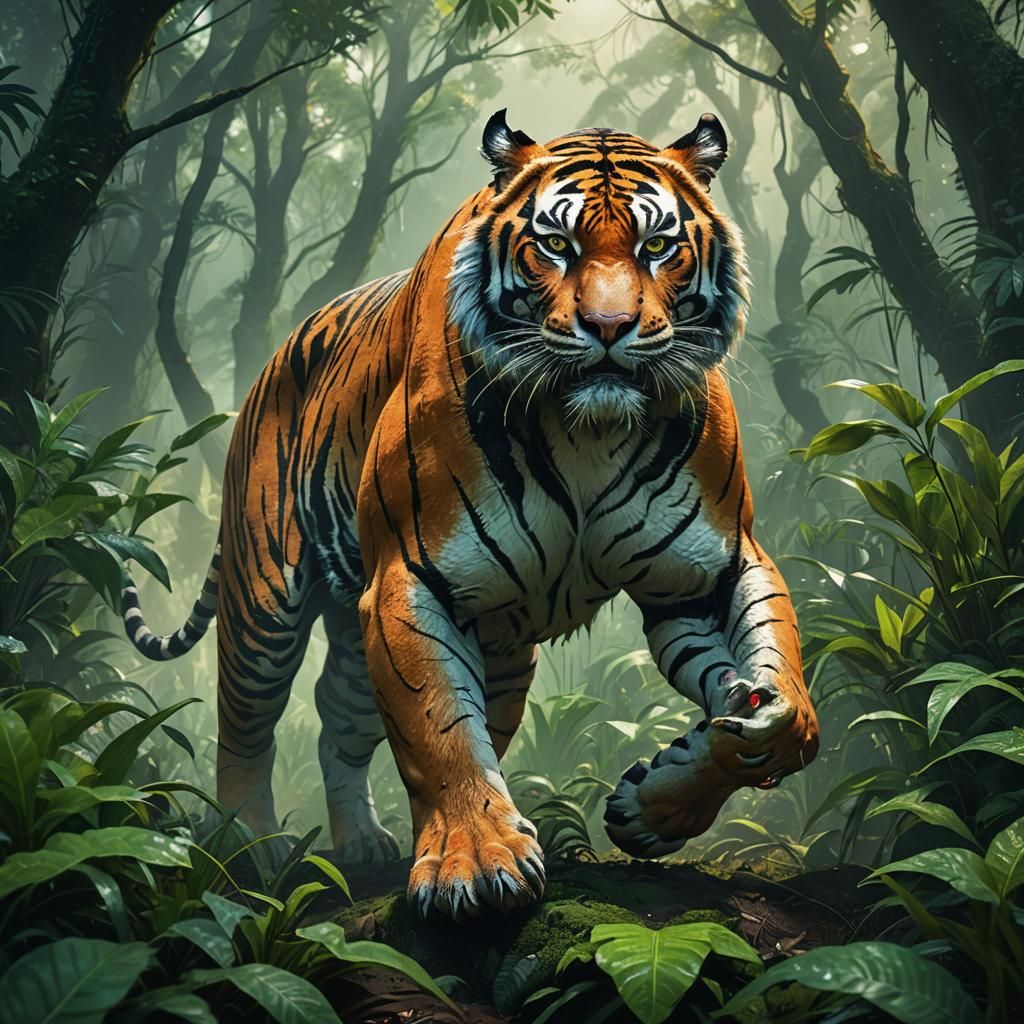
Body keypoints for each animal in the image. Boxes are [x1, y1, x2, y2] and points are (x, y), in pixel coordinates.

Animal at [122, 110, 819, 922]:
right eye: (556, 244)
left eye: (656, 246)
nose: (608, 326)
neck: (590, 430)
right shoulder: (412, 579)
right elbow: (439, 731)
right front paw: (477, 863)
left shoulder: (707, 574)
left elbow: (792, 711)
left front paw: (658, 803)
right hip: (264, 597)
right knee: (245, 722)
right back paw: (248, 847)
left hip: (474, 644)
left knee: (338, 714)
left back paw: (361, 843)